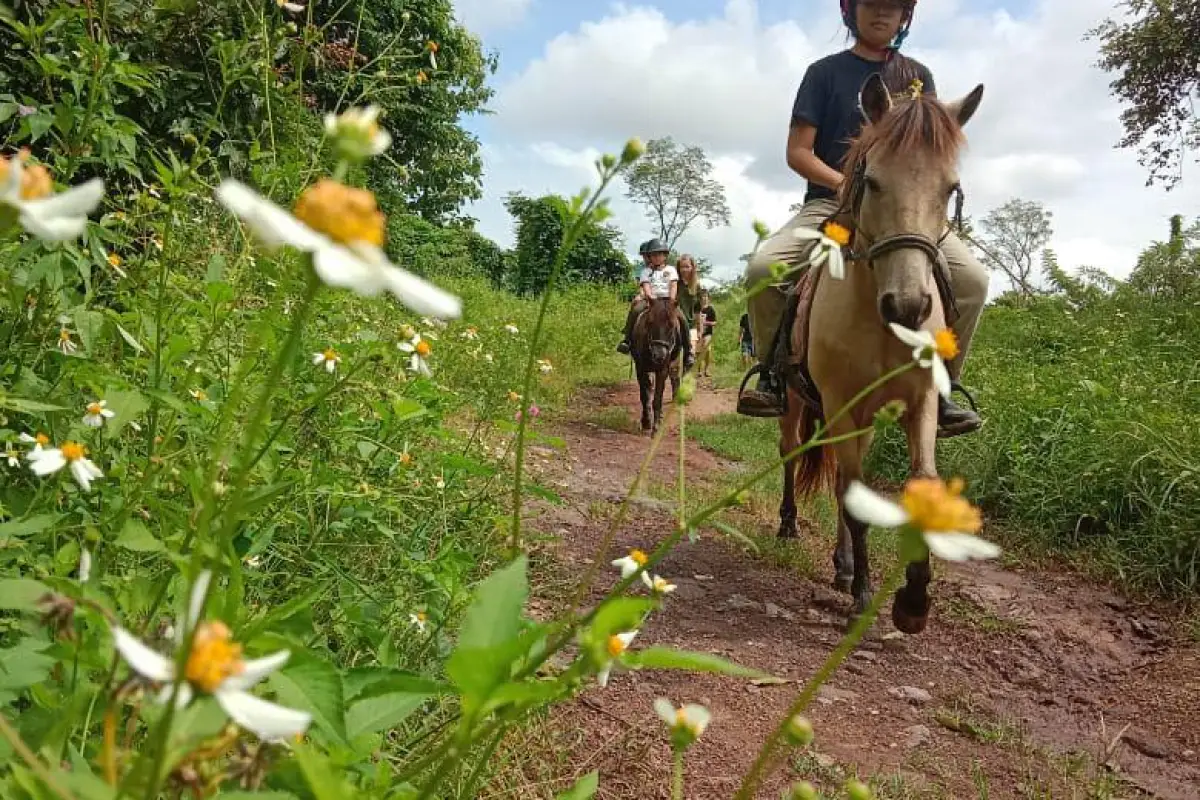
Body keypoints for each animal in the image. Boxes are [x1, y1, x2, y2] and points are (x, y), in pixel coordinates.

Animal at [631, 297, 682, 434]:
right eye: (650, 322)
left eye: (672, 325)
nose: (659, 355)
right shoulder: (641, 369)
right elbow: (645, 396)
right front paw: (646, 422)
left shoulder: (662, 370)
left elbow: (658, 398)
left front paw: (656, 426)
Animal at [779, 73, 984, 634]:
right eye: (871, 181)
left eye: (950, 189)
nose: (909, 305)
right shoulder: (841, 405)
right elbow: (853, 495)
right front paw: (864, 595)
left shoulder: (921, 402)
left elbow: (921, 486)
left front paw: (912, 601)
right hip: (797, 403)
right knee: (794, 455)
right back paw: (791, 528)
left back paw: (844, 566)